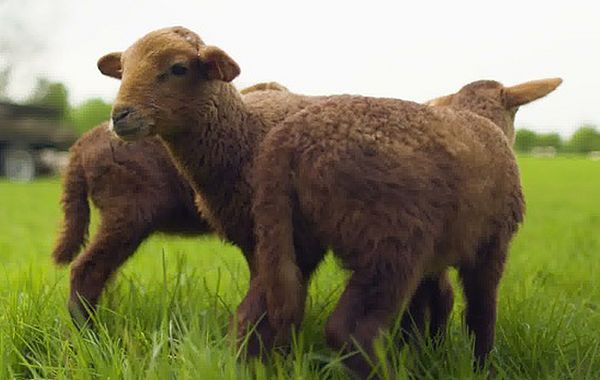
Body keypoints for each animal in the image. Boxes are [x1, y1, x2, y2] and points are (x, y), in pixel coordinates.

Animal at [243, 78, 556, 378]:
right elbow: (481, 312)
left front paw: (424, 353)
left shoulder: (432, 263)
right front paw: (482, 368)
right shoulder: (491, 244)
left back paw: (252, 367)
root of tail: (287, 141)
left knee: (257, 316)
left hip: (291, 234)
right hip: (392, 242)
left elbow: (425, 310)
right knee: (350, 331)